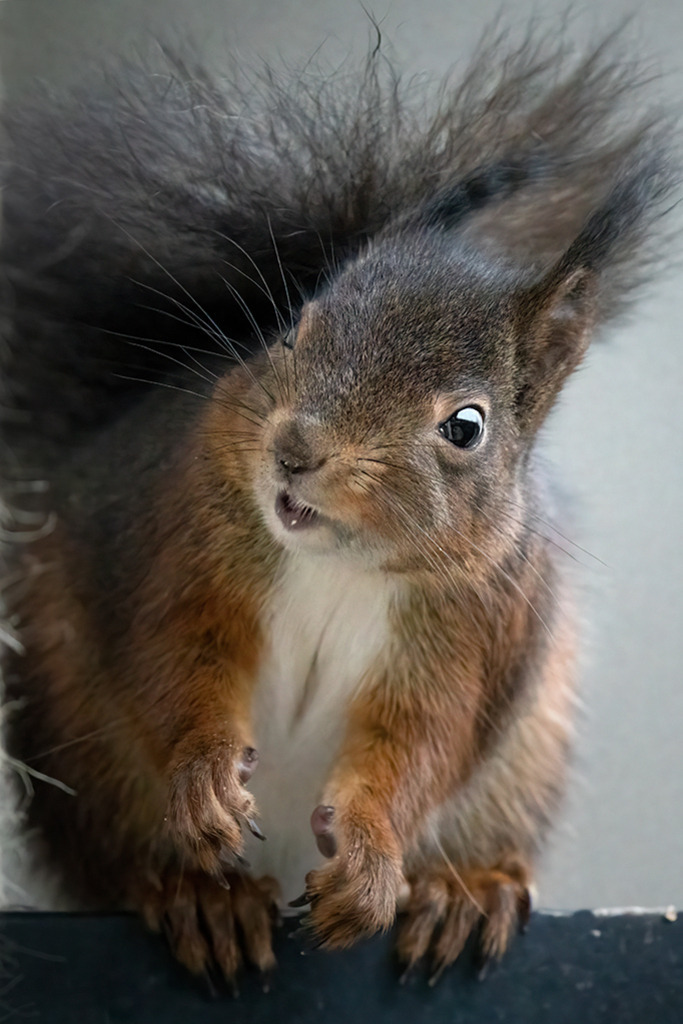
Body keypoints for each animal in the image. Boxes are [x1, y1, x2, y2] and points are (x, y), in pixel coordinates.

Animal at [0, 28, 676, 983]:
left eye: (466, 426)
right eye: (292, 330)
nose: (294, 449)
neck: (337, 565)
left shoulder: (475, 630)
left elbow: (419, 743)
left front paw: (369, 855)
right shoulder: (181, 538)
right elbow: (175, 659)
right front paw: (205, 778)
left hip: (525, 758)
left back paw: (463, 891)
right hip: (80, 744)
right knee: (123, 859)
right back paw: (199, 896)